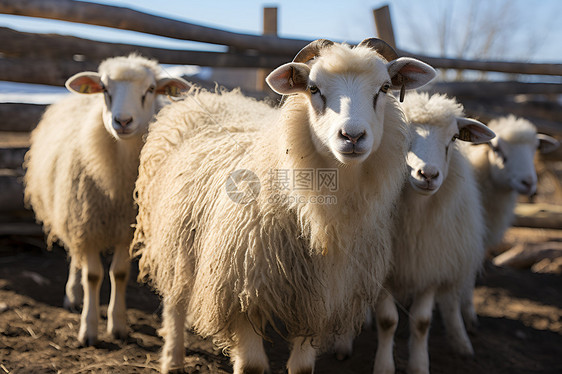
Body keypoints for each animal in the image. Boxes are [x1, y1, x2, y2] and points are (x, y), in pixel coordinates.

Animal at [23, 54, 189, 346]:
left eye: (150, 89)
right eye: (105, 89)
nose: (122, 121)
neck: (117, 187)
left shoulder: (126, 230)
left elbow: (119, 274)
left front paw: (118, 325)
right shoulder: (85, 225)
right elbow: (93, 276)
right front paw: (88, 329)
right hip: (70, 212)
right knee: (75, 257)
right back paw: (73, 295)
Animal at [130, 38, 434, 374]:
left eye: (384, 88)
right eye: (313, 88)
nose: (352, 136)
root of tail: (206, 96)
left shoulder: (317, 300)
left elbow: (301, 367)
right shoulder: (241, 291)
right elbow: (251, 365)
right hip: (172, 238)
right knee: (174, 301)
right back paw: (172, 358)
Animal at [368, 93, 494, 374]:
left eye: (454, 138)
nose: (428, 174)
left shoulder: (430, 264)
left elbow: (422, 322)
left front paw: (419, 365)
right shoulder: (383, 271)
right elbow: (387, 320)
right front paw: (384, 365)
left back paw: (462, 342)